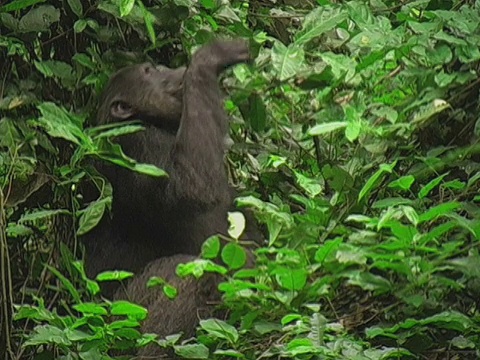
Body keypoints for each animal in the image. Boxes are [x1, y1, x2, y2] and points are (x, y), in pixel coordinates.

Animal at [84, 40, 253, 278]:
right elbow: (191, 186)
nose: (165, 67)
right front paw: (211, 55)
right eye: (149, 71)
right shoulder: (137, 144)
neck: (151, 121)